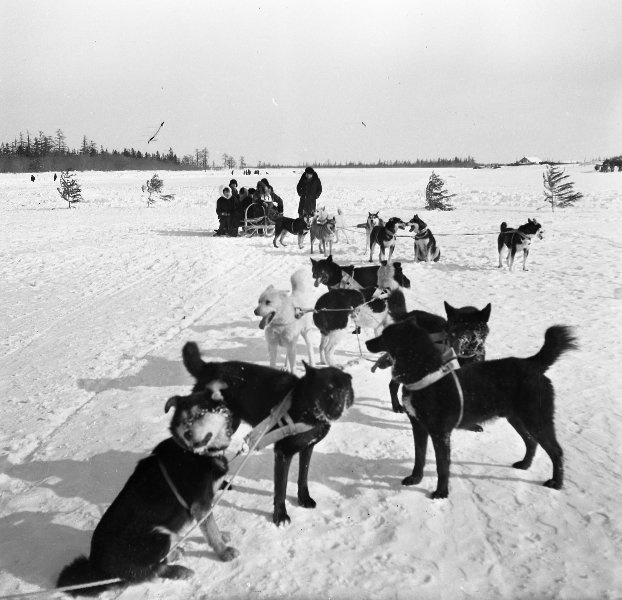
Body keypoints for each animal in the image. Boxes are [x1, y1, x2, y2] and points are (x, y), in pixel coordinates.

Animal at [58, 386, 240, 592]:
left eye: (201, 413)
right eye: (183, 421)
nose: (188, 434)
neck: (194, 453)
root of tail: (97, 568)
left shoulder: (204, 504)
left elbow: (210, 526)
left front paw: (222, 537)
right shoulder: (199, 504)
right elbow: (211, 529)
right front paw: (223, 551)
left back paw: (174, 554)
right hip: (159, 535)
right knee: (150, 571)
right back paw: (179, 570)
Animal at [182, 342, 356, 524]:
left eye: (343, 391)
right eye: (325, 389)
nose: (337, 411)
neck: (303, 405)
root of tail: (208, 367)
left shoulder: (307, 448)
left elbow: (303, 477)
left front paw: (304, 499)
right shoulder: (282, 453)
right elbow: (281, 489)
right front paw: (280, 516)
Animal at [368, 322, 576, 500]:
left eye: (385, 335)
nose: (366, 342)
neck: (424, 374)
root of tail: (531, 364)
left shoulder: (440, 433)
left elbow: (442, 467)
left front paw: (441, 493)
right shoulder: (418, 427)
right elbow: (419, 457)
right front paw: (415, 479)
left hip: (537, 419)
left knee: (556, 451)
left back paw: (556, 483)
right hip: (516, 418)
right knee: (531, 442)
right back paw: (525, 464)